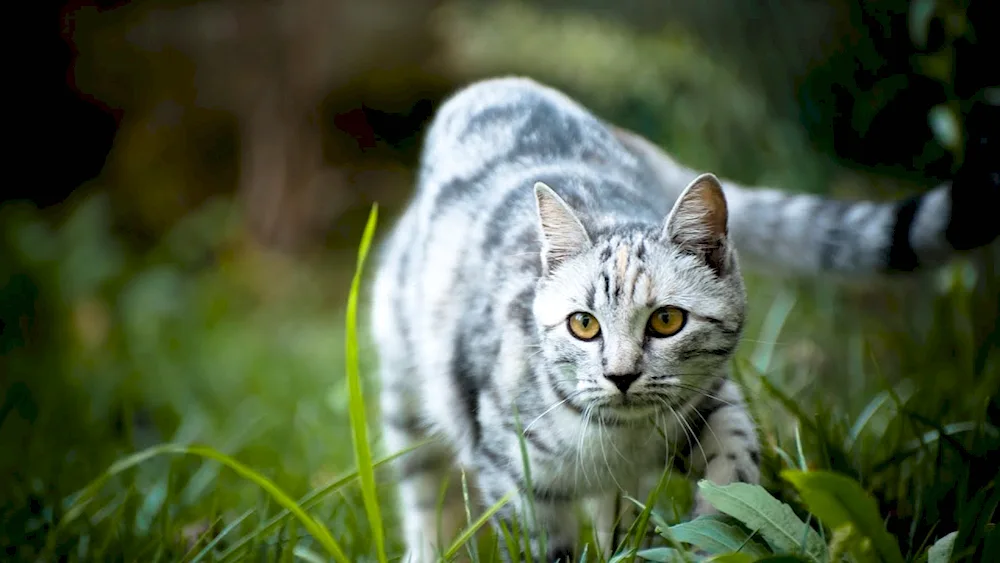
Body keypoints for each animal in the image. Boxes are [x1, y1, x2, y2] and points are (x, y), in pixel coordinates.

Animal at [372, 76, 996, 563]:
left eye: (667, 321)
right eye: (583, 325)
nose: (621, 375)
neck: (616, 439)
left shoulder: (712, 405)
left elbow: (734, 468)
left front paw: (709, 536)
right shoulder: (512, 475)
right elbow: (542, 546)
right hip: (405, 394)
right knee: (422, 496)